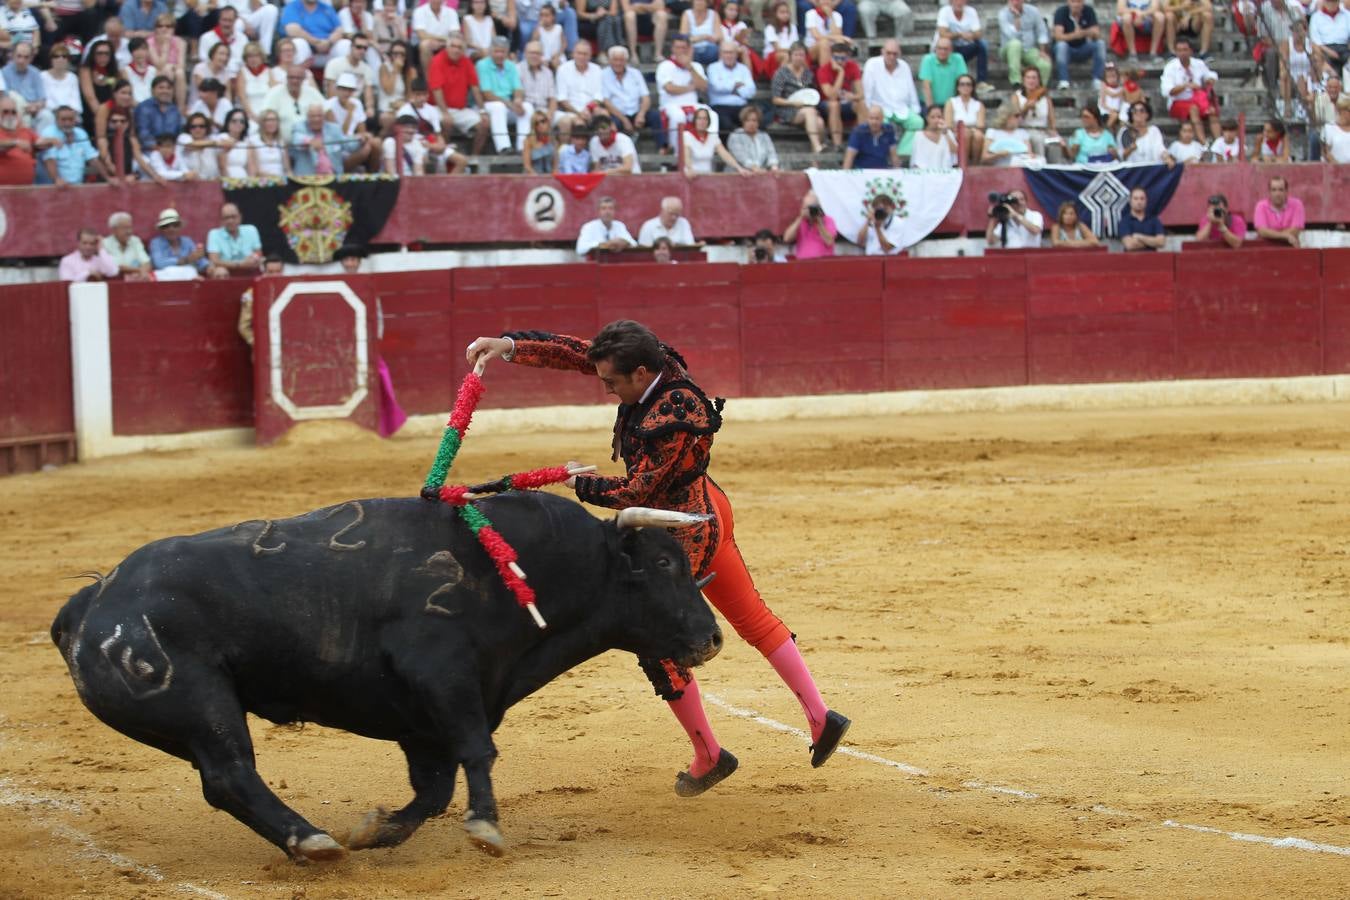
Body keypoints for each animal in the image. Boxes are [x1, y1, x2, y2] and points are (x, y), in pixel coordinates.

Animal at [51, 493, 723, 858]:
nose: (713, 638)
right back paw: (312, 842)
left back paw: (316, 842)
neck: (521, 570)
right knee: (230, 773)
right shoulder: (442, 676)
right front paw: (486, 829)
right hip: (203, 704)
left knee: (223, 782)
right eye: (665, 564)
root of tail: (92, 605)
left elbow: (434, 789)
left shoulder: (423, 720)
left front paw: (378, 831)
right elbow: (477, 751)